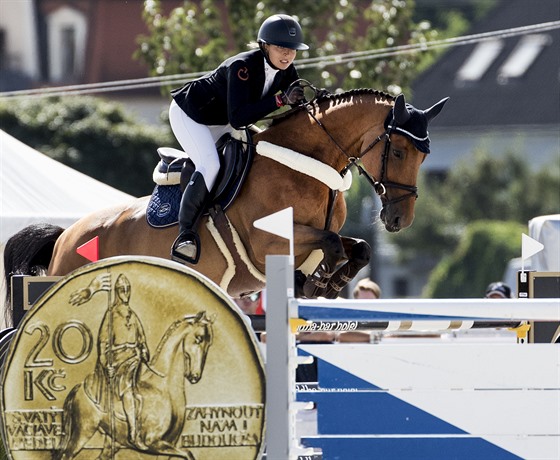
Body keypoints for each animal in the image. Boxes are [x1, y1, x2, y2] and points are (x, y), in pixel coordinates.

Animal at [2, 89, 448, 306]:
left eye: (425, 155)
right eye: (399, 151)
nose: (399, 220)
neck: (308, 163)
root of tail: (64, 237)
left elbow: (357, 248)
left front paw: (329, 281)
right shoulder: (268, 241)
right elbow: (332, 242)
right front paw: (319, 280)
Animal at [56, 310, 214, 458]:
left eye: (209, 343)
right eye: (199, 338)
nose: (195, 376)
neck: (164, 389)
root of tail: (80, 387)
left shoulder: (168, 446)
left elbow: (187, 453)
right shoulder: (154, 443)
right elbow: (188, 453)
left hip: (109, 442)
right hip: (83, 432)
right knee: (66, 454)